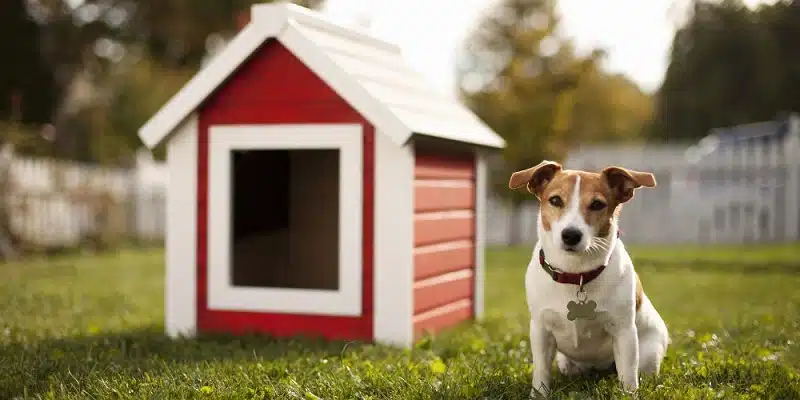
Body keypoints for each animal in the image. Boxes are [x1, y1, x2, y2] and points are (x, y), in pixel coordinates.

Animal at [510, 160, 672, 396]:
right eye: (555, 200)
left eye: (597, 204)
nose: (571, 235)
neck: (576, 273)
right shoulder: (540, 331)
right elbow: (541, 372)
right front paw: (538, 394)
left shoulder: (623, 333)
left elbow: (628, 376)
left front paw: (628, 395)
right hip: (567, 363)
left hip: (648, 354)